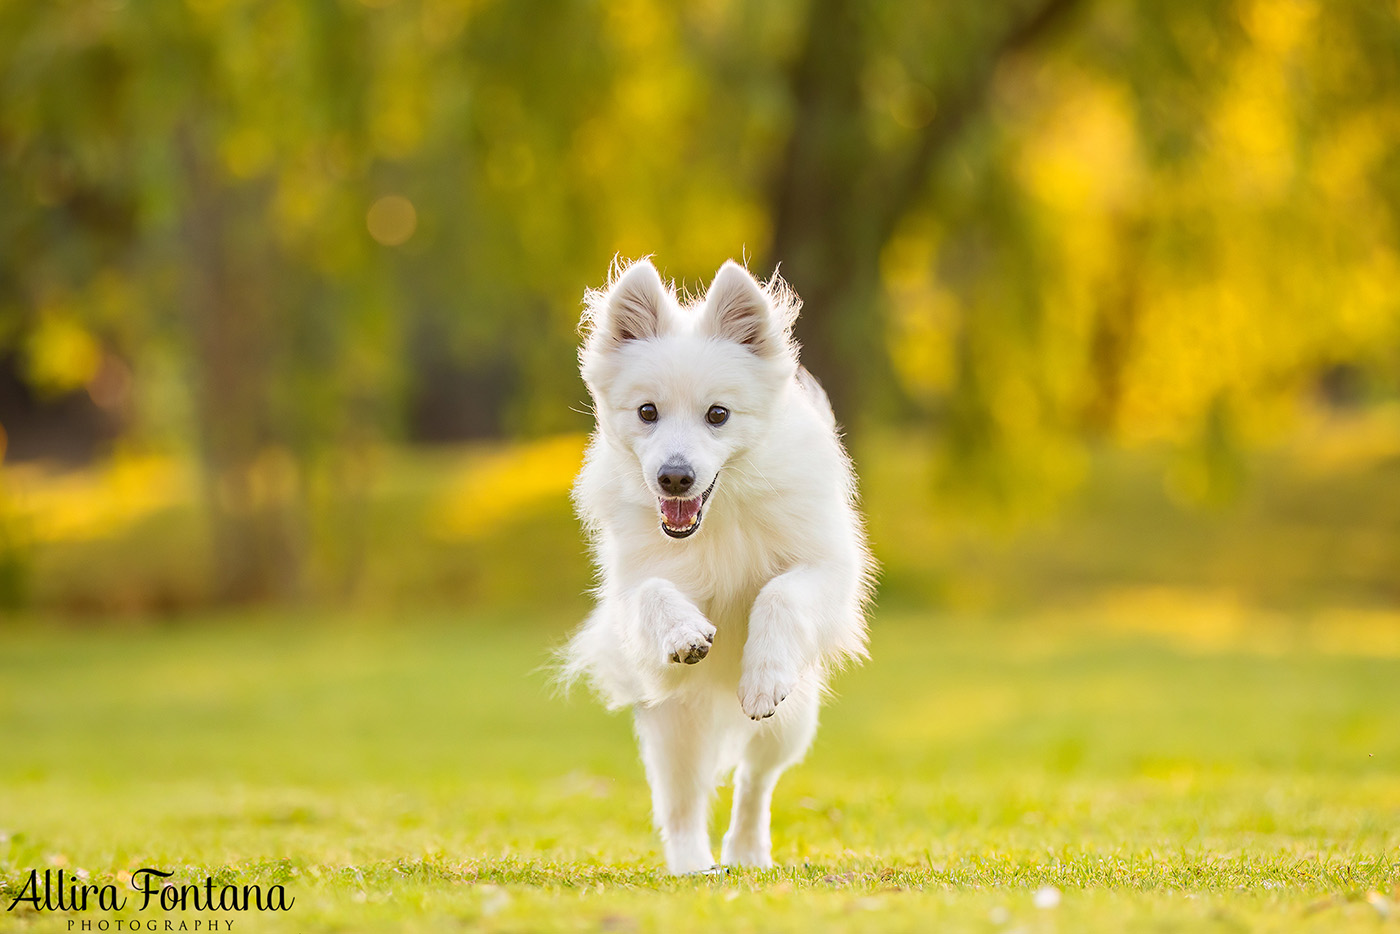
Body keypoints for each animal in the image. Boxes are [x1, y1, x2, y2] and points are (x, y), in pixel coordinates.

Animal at [560, 257, 873, 879]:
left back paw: (747, 852)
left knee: (755, 781)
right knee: (682, 805)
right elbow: (653, 592)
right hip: (672, 726)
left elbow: (779, 594)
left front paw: (763, 675)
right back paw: (692, 867)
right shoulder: (634, 592)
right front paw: (686, 634)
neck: (719, 514)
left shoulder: (828, 568)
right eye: (648, 412)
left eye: (718, 415)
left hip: (789, 725)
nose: (675, 477)